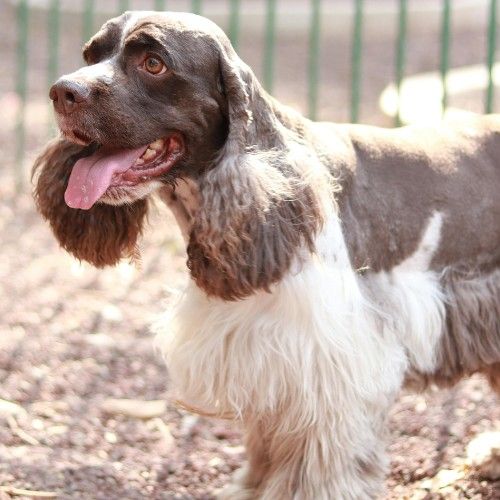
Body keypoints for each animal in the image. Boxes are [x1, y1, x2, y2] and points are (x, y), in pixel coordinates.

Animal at [32, 9, 500, 498]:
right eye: (91, 54)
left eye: (154, 63)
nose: (62, 91)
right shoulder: (265, 357)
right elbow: (267, 444)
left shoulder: (330, 363)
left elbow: (320, 463)